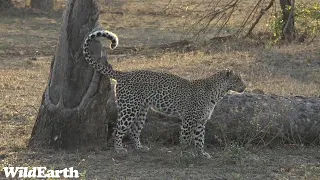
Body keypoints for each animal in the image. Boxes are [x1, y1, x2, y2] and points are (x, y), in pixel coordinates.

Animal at [82, 29, 245, 159]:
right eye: (237, 79)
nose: (244, 86)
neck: (217, 93)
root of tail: (123, 73)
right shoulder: (189, 119)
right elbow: (186, 138)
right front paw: (185, 154)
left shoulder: (201, 121)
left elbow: (200, 139)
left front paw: (202, 154)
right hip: (129, 109)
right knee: (118, 129)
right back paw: (119, 150)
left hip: (141, 110)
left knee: (134, 130)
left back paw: (140, 148)